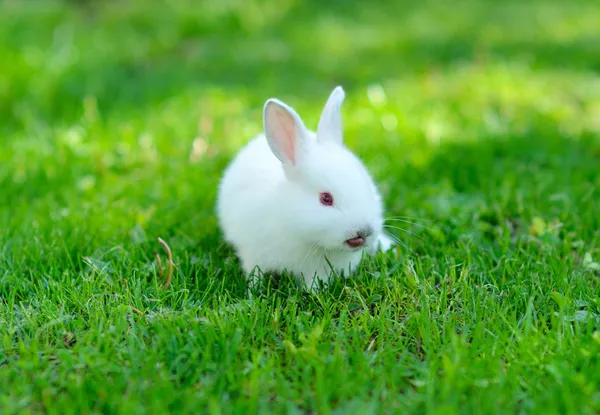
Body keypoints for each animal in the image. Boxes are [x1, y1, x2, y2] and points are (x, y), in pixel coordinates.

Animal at [216, 86, 394, 290]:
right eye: (326, 198)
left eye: (369, 191)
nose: (363, 232)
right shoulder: (252, 254)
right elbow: (254, 272)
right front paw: (254, 289)